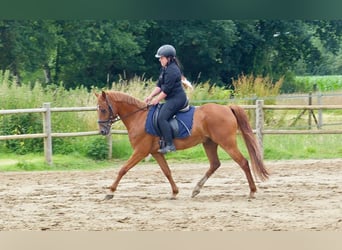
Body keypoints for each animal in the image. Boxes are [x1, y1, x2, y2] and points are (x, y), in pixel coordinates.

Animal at [95, 91, 268, 200]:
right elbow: (167, 172)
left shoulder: (140, 151)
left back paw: (252, 191)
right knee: (214, 164)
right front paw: (174, 192)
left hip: (227, 143)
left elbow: (123, 169)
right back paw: (196, 189)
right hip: (209, 143)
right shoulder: (156, 152)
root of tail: (226, 107)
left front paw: (110, 192)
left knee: (243, 162)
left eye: (103, 109)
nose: (103, 131)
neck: (139, 117)